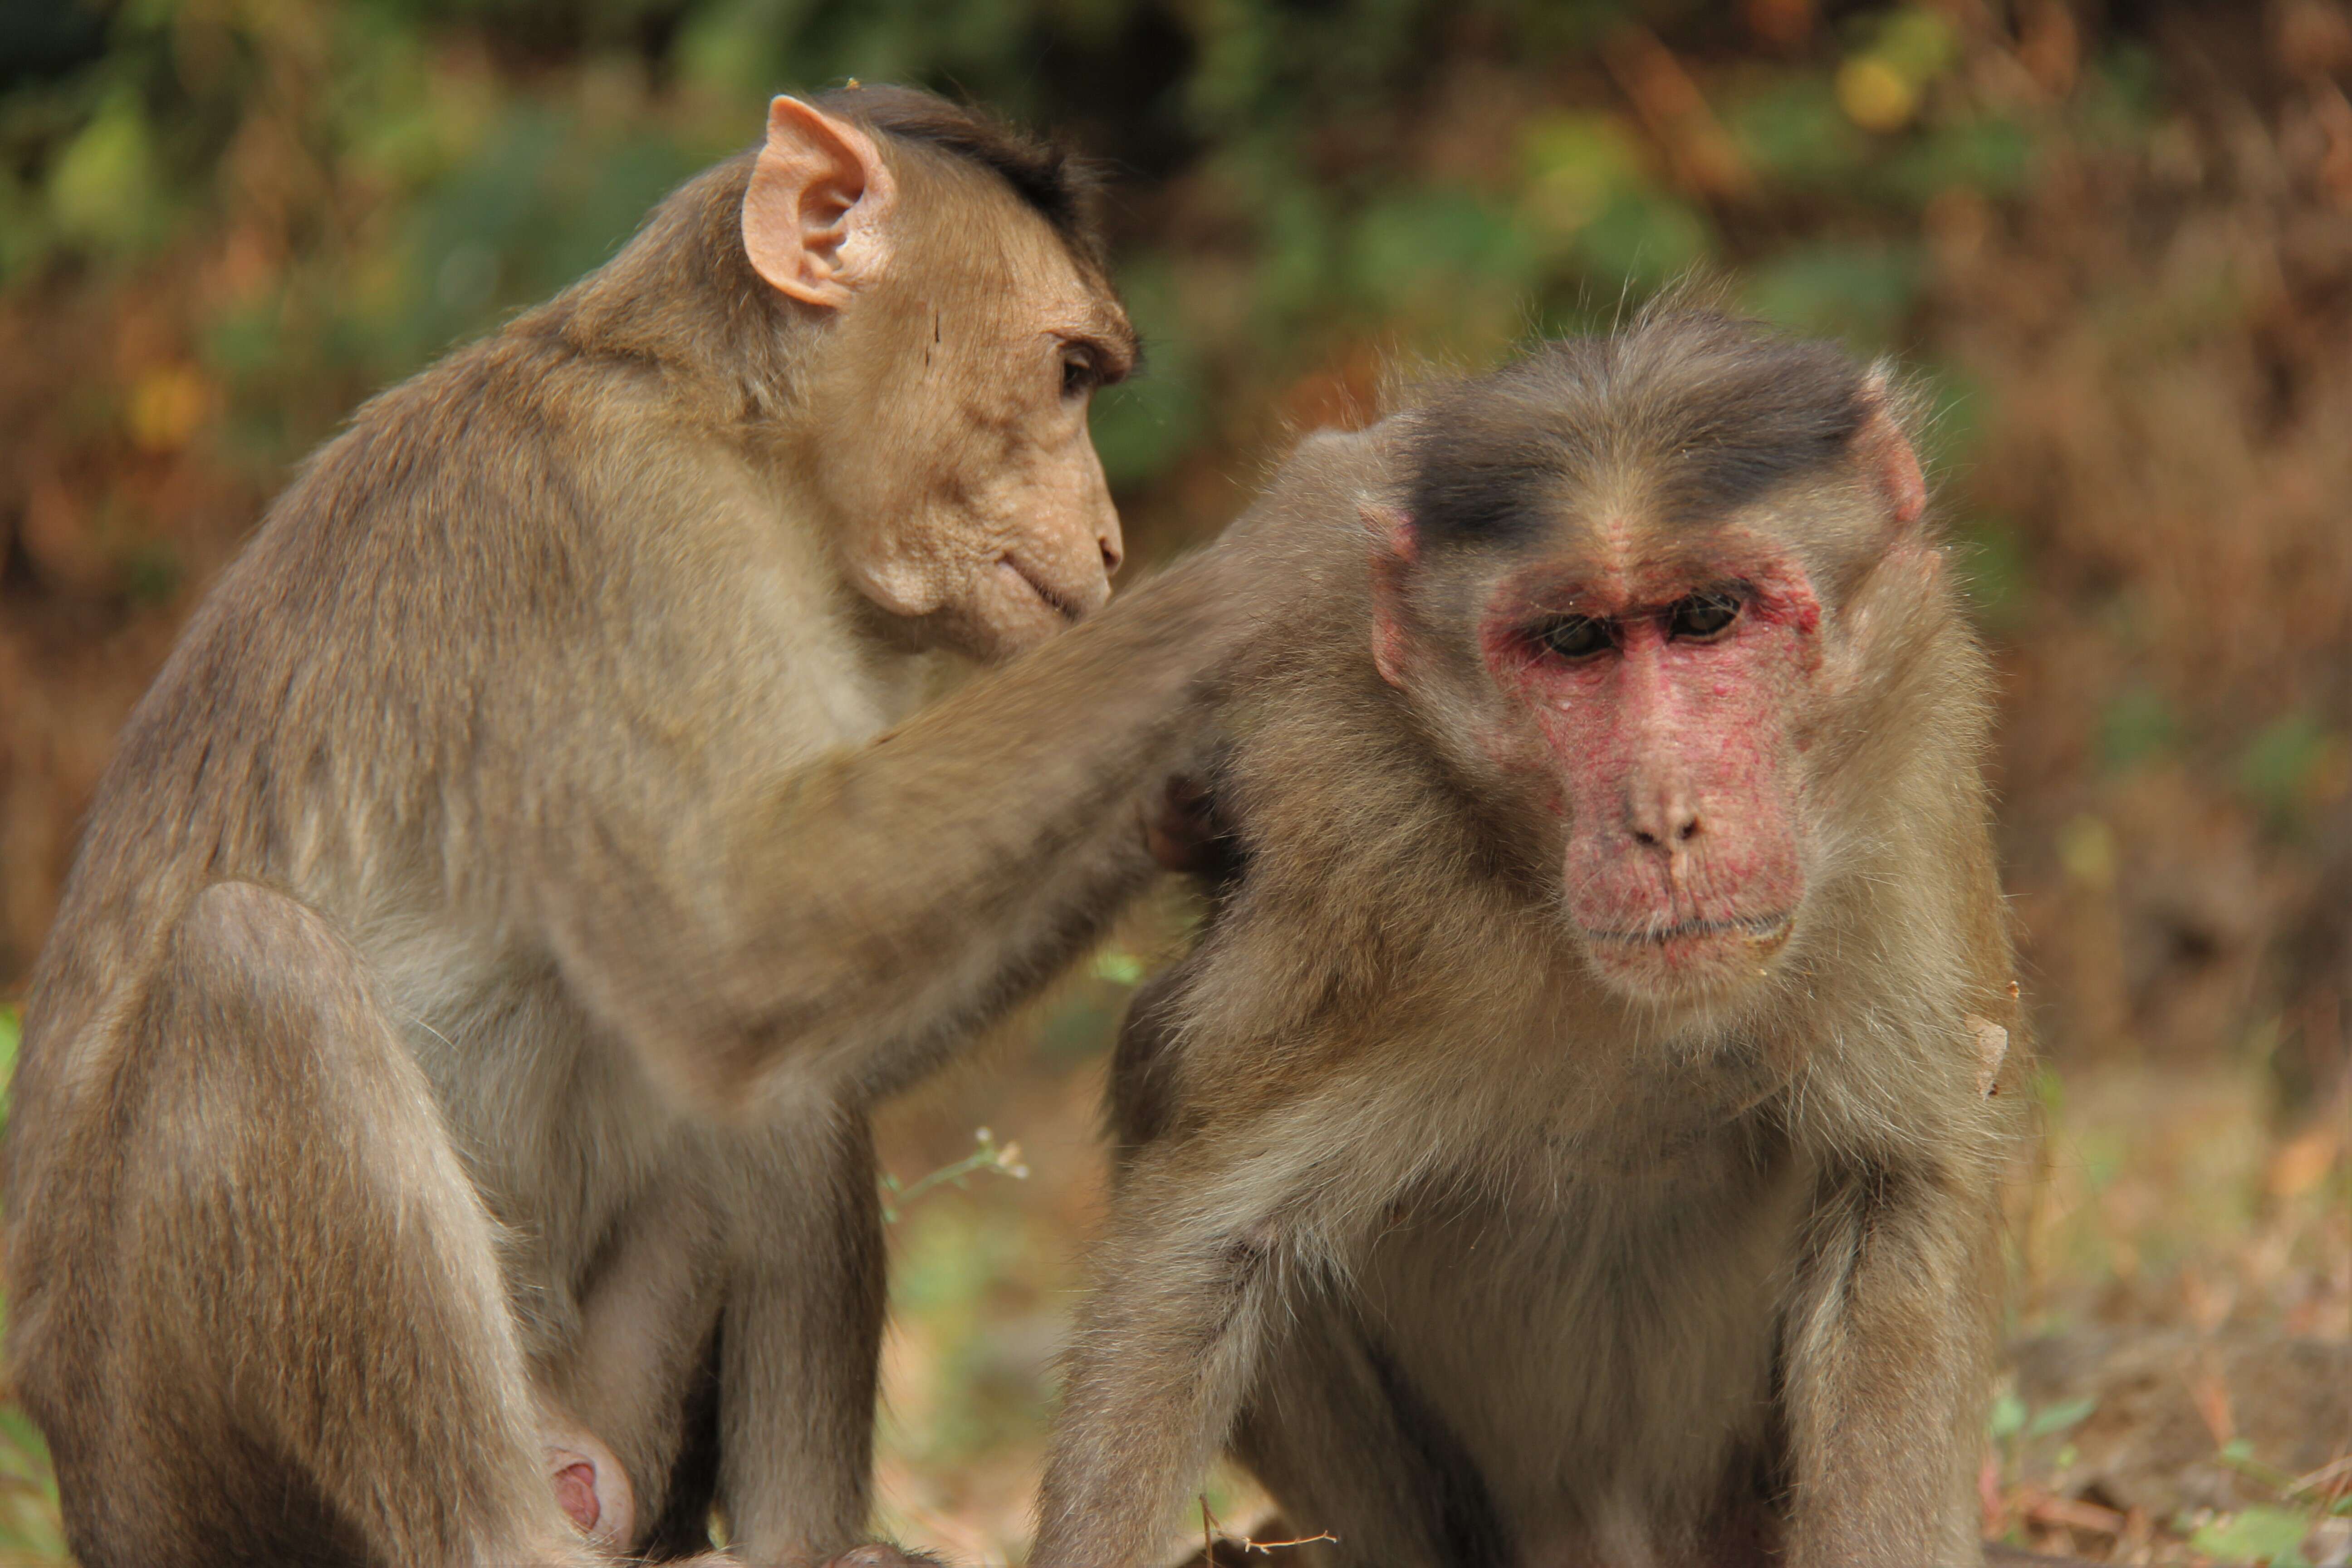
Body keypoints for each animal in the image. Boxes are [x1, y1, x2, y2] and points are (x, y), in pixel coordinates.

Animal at [0, 86, 1270, 1568]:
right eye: (1069, 376)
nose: (1115, 541)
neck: (736, 429)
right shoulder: (619, 530)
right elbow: (745, 936)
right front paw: (1300, 548)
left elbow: (781, 991)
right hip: (182, 1470)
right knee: (252, 970)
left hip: (617, 1415)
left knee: (770, 1077)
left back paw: (803, 1545)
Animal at [1039, 310, 2032, 1568]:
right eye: (1574, 641)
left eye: (1709, 616)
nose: (1662, 817)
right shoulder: (1358, 848)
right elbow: (1199, 1255)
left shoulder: (1907, 767)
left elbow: (1898, 1187)